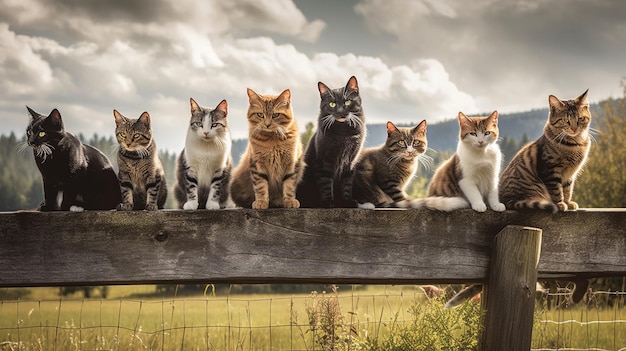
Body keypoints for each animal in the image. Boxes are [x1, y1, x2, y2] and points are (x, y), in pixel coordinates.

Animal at [298, 76, 366, 209]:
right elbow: (325, 183)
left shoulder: (350, 161)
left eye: (347, 102)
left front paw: (346, 201)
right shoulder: (324, 160)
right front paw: (327, 202)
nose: (340, 112)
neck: (344, 132)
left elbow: (347, 183)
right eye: (332, 104)